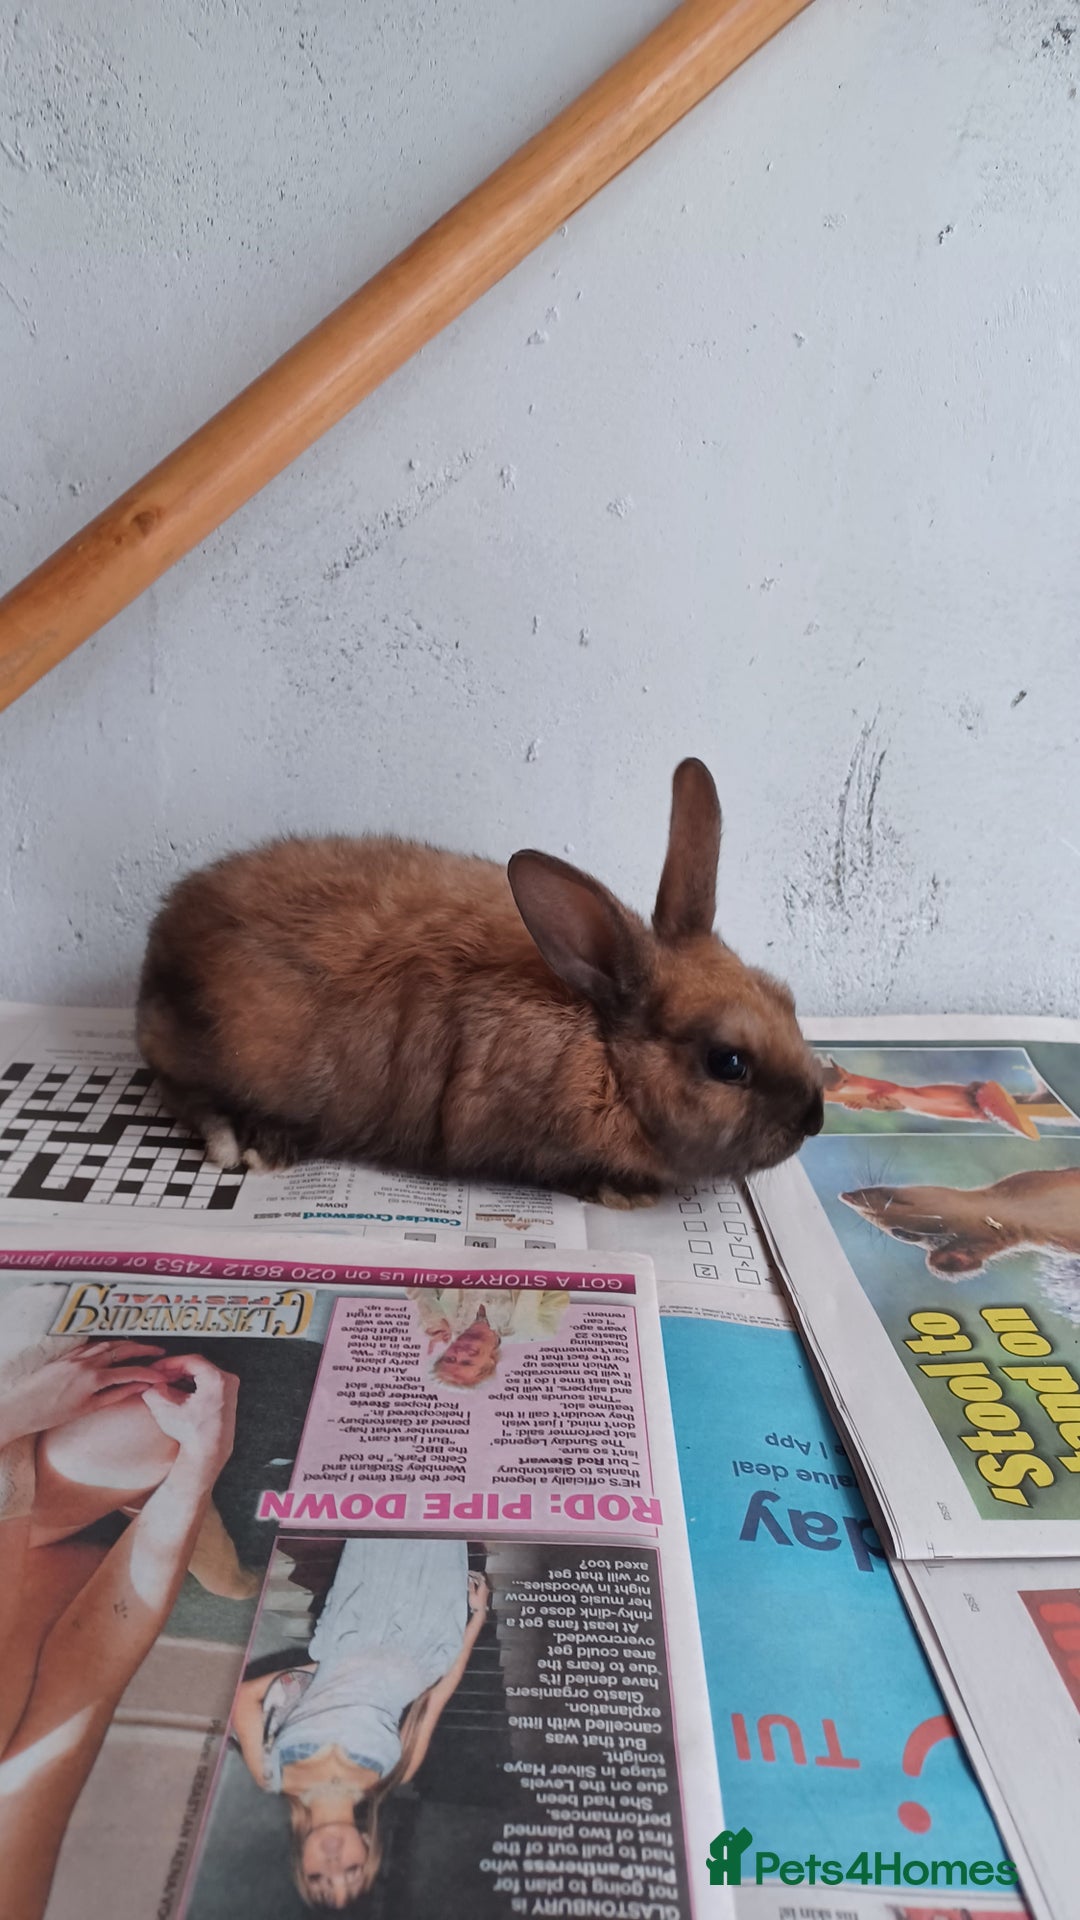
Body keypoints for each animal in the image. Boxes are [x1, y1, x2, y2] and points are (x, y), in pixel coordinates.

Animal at [135, 758, 824, 1207]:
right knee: (181, 1091)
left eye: (786, 998)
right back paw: (247, 1144)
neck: (604, 1051)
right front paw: (620, 1192)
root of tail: (158, 944)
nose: (815, 1119)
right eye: (727, 1062)